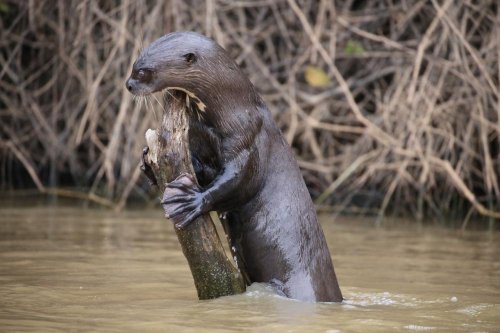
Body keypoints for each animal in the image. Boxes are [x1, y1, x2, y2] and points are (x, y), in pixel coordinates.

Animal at [127, 31, 342, 300]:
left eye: (144, 71)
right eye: (134, 65)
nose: (128, 84)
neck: (233, 113)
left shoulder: (248, 140)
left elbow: (240, 183)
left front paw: (186, 200)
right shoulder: (200, 137)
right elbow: (204, 170)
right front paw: (147, 162)